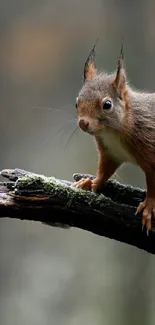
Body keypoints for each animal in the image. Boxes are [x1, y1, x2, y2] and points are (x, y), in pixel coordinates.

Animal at [72, 41, 155, 233]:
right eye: (76, 103)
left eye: (107, 104)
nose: (83, 123)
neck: (112, 132)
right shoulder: (110, 153)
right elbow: (104, 170)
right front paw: (90, 182)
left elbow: (153, 185)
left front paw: (149, 206)